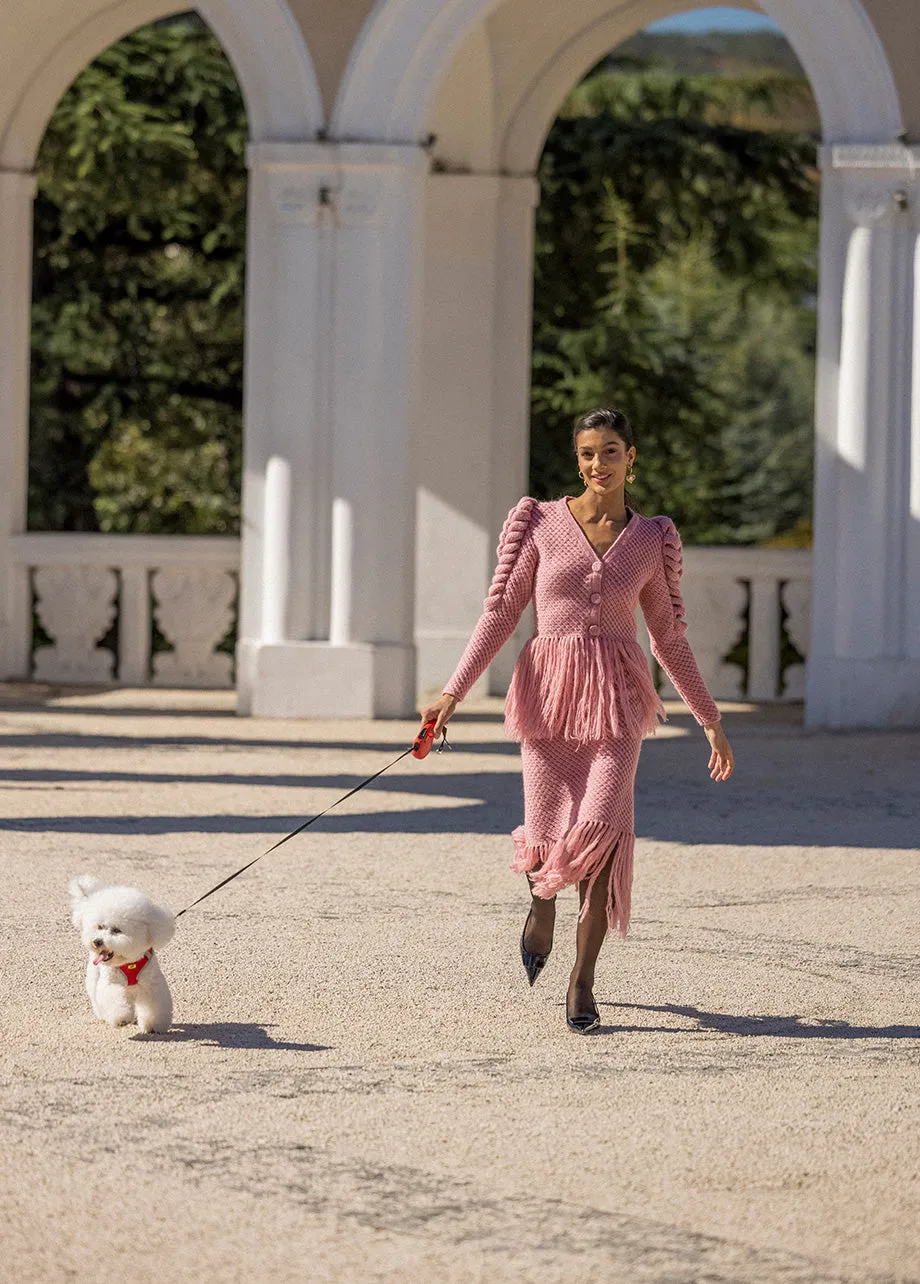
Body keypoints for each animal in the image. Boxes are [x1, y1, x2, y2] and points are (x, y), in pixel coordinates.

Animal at [69, 873, 175, 1032]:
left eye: (117, 930)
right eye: (100, 926)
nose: (97, 941)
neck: (129, 960)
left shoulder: (152, 985)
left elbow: (154, 1005)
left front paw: (154, 1025)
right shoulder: (110, 983)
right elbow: (112, 998)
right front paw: (122, 1018)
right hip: (94, 977)